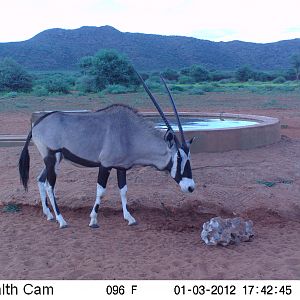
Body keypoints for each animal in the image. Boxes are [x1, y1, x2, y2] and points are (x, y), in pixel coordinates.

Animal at [19, 74, 197, 229]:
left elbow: (123, 190)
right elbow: (101, 191)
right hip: (51, 157)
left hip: (55, 159)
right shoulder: (105, 165)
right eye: (179, 158)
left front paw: (129, 218)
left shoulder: (121, 167)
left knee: (41, 180)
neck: (130, 133)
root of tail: (37, 123)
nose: (190, 187)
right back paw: (61, 220)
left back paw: (49, 215)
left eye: (189, 157)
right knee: (50, 185)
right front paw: (93, 220)